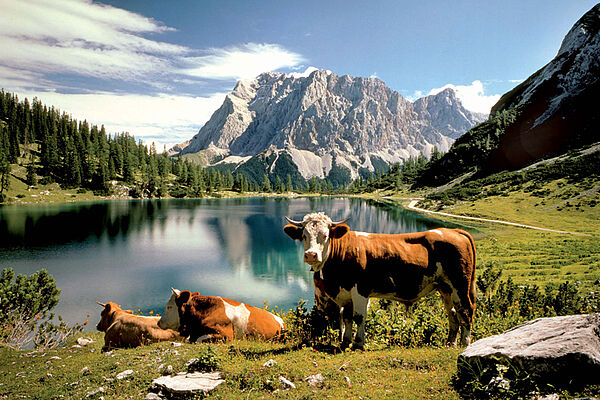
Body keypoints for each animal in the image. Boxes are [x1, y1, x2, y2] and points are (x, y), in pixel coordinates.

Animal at [284, 211, 476, 348]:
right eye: (304, 236)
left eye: (325, 235)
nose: (311, 255)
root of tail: (454, 231)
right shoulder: (345, 293)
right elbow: (346, 317)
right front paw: (346, 341)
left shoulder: (360, 289)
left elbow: (359, 316)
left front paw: (359, 343)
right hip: (445, 288)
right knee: (452, 313)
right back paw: (450, 343)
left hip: (461, 284)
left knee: (466, 310)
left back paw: (464, 344)